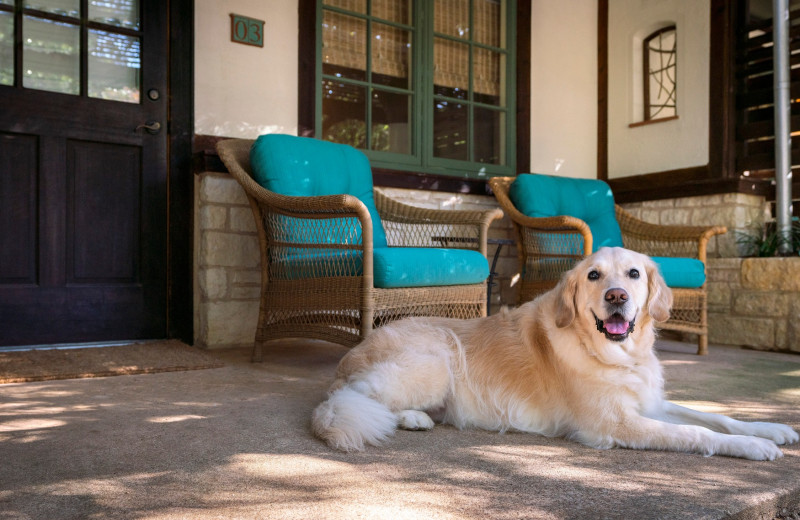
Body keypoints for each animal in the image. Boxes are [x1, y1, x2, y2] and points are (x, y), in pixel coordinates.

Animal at [310, 248, 796, 460]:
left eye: (634, 274)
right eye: (594, 275)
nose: (617, 297)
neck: (613, 353)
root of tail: (347, 358)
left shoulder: (648, 403)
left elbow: (715, 416)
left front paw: (769, 429)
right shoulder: (615, 424)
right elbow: (697, 432)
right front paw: (753, 446)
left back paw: (417, 417)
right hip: (436, 358)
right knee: (356, 399)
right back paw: (404, 416)